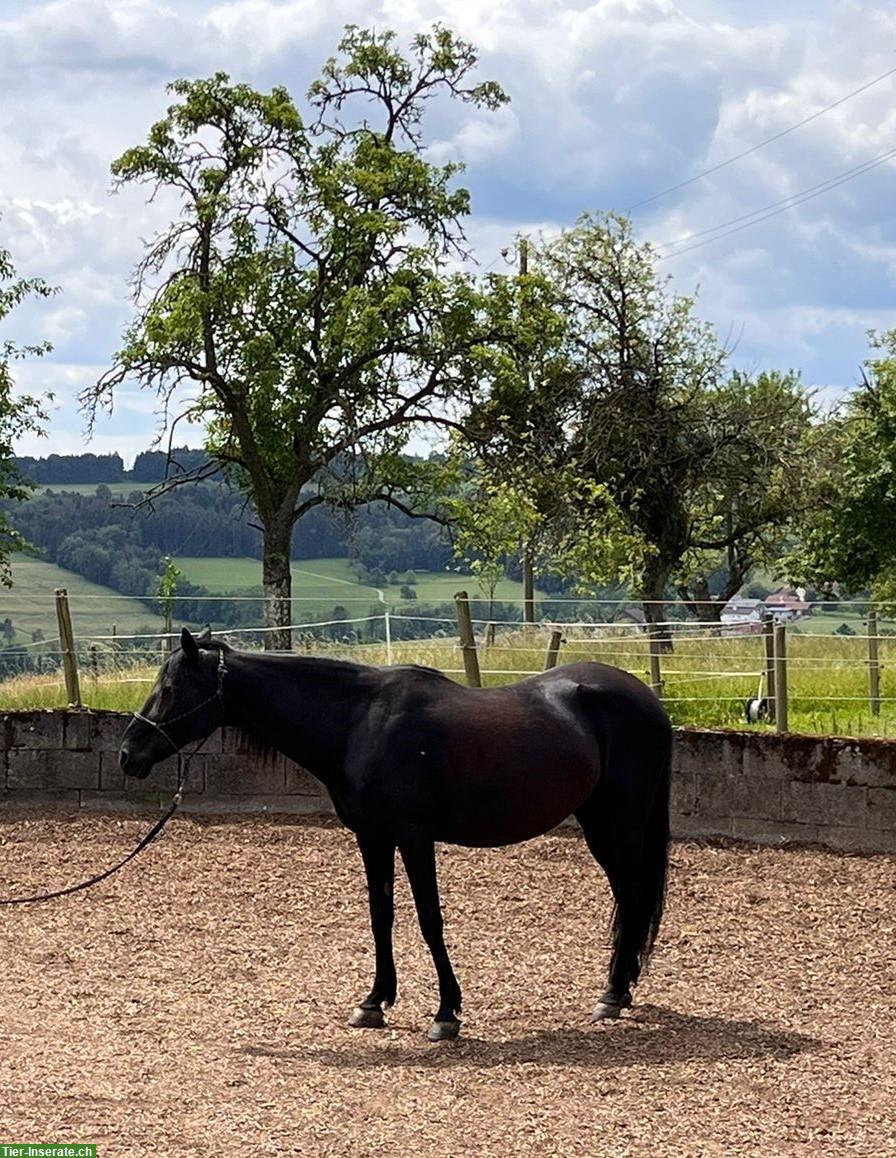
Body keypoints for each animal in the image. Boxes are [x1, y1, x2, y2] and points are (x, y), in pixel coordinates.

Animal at [120, 629, 676, 1046]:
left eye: (171, 689)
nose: (129, 754)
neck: (358, 722)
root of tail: (647, 700)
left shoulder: (413, 835)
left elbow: (430, 919)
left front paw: (447, 1013)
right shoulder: (373, 836)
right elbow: (380, 915)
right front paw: (374, 1003)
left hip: (616, 825)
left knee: (631, 898)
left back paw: (611, 994)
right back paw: (620, 990)